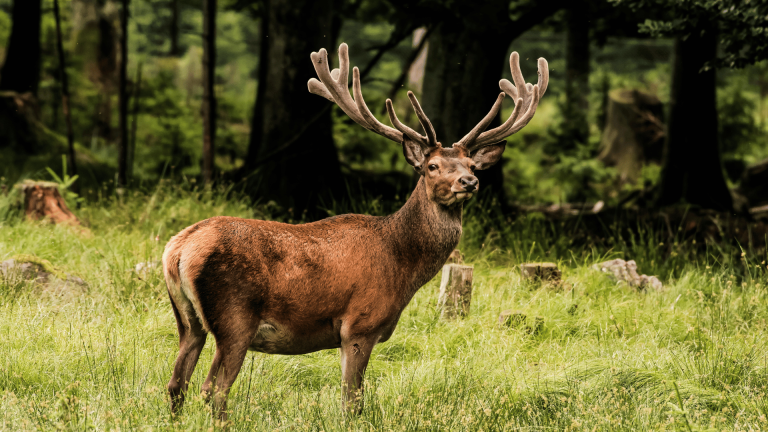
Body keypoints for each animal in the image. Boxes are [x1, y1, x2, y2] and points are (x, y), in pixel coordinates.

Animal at [162, 42, 548, 420]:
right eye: (433, 166)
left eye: (470, 164)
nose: (469, 181)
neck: (402, 264)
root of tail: (178, 250)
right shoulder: (360, 324)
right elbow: (352, 402)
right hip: (235, 317)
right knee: (212, 389)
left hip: (188, 320)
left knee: (177, 384)